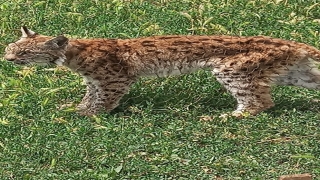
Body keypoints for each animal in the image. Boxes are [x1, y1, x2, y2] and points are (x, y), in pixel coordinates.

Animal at [3, 26, 320, 116]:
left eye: (24, 53)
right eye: (10, 47)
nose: (6, 59)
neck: (72, 55)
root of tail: (291, 42)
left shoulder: (115, 79)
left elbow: (103, 100)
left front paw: (89, 116)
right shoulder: (95, 81)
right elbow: (89, 94)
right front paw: (77, 108)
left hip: (230, 70)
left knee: (261, 102)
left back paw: (228, 117)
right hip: (296, 74)